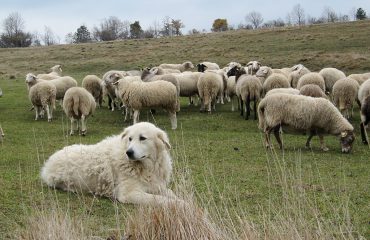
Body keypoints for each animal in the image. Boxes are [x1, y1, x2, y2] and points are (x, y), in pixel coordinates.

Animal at [40, 122, 179, 204]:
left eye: (142, 138)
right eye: (130, 139)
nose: (129, 153)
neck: (146, 167)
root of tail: (49, 161)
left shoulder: (155, 185)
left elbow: (170, 194)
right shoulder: (129, 193)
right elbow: (163, 200)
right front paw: (181, 205)